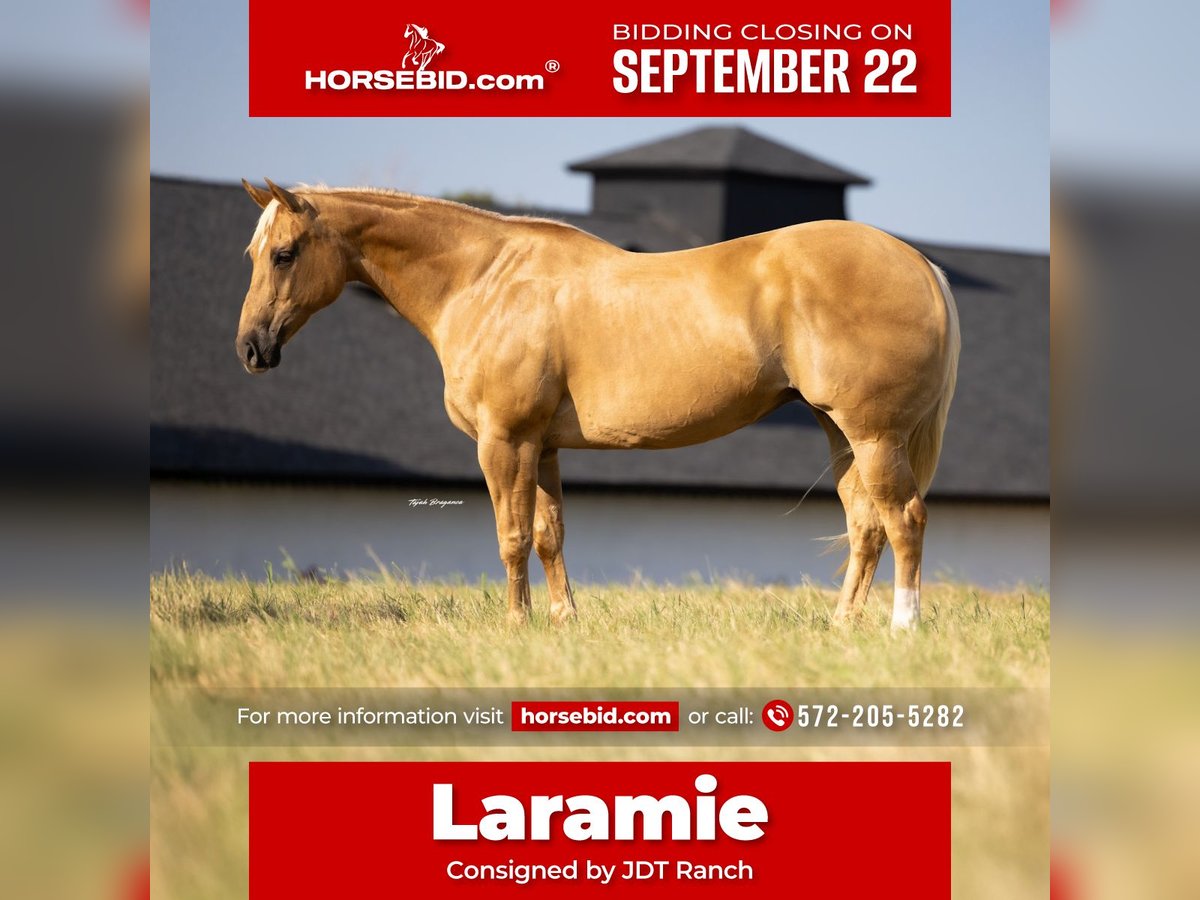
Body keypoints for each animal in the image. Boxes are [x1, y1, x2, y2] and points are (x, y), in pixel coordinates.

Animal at [235, 179, 960, 630]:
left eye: (284, 253)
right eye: (253, 252)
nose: (251, 348)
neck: (484, 280)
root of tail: (921, 264)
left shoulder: (504, 441)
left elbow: (511, 536)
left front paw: (517, 624)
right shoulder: (543, 445)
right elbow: (549, 536)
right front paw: (563, 621)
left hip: (874, 436)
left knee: (905, 521)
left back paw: (902, 628)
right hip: (841, 433)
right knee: (867, 526)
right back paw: (842, 626)